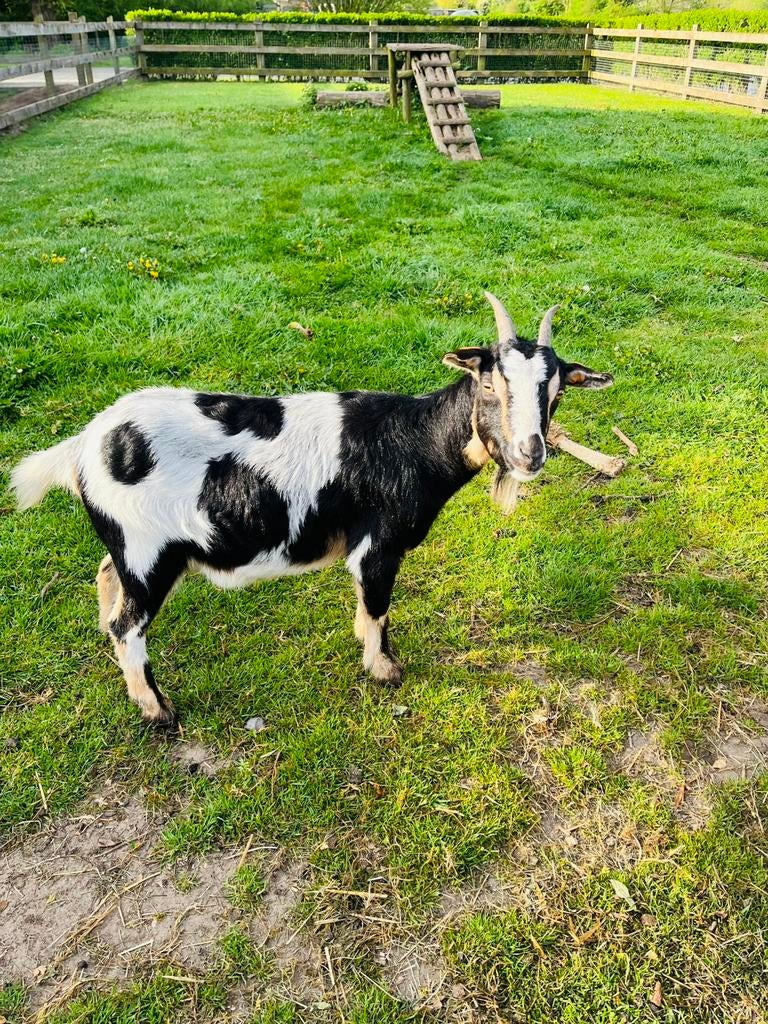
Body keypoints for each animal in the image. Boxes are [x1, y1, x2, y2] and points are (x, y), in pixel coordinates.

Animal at [11, 294, 613, 727]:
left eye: (557, 392)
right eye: (488, 383)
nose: (530, 453)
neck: (413, 440)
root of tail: (84, 446)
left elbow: (367, 610)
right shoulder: (377, 546)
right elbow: (378, 608)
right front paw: (385, 671)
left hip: (131, 548)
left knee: (105, 578)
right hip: (148, 555)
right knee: (128, 626)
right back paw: (158, 712)